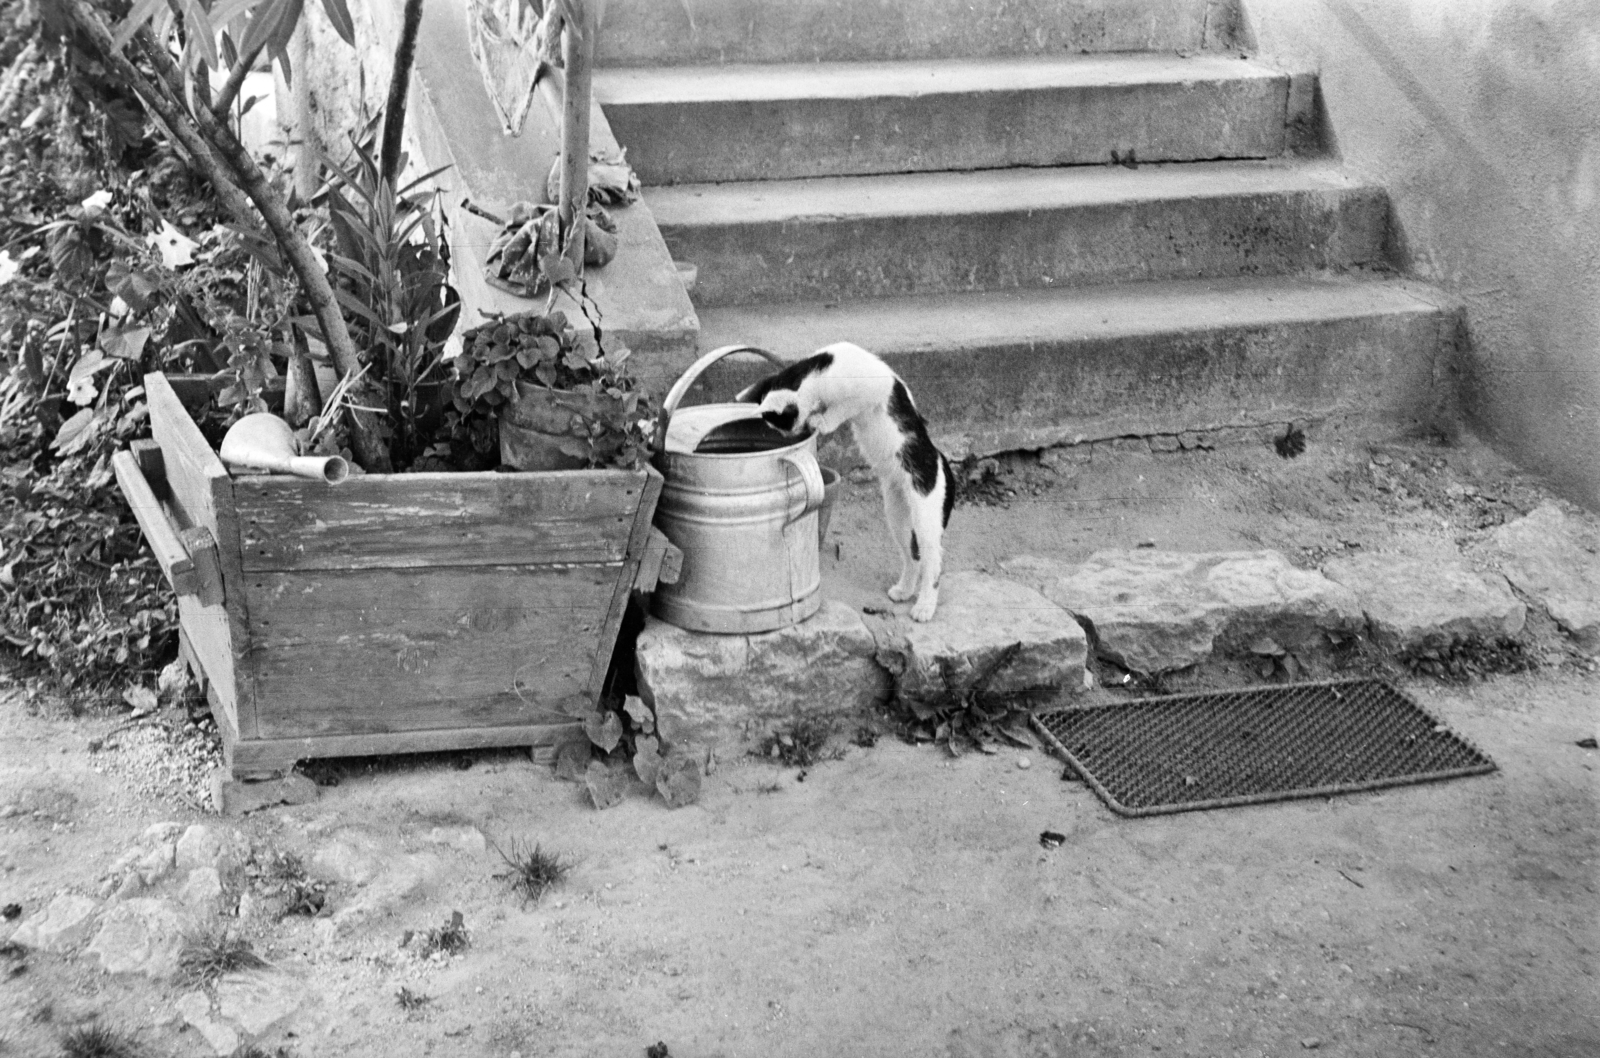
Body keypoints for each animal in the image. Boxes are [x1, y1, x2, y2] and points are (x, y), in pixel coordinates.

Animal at [732, 342, 947, 617]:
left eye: (781, 425)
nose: (788, 436)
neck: (818, 369)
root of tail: (941, 459)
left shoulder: (872, 388)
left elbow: (845, 407)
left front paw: (823, 420)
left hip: (924, 512)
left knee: (933, 560)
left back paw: (925, 606)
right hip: (897, 512)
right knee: (913, 556)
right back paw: (904, 591)